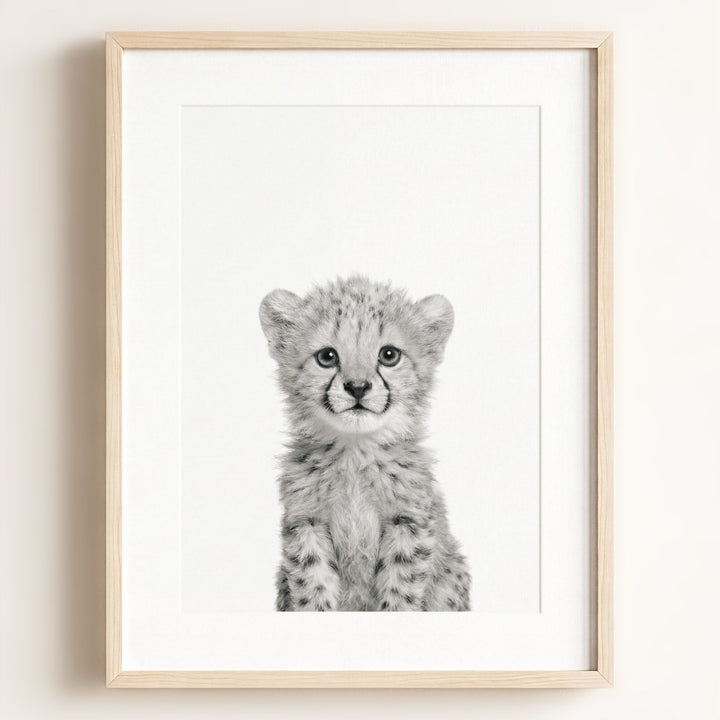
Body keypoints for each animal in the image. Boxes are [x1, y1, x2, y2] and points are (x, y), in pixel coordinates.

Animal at [259, 275, 471, 611]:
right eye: (327, 357)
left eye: (389, 355)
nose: (357, 387)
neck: (355, 454)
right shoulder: (306, 523)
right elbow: (312, 586)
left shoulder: (408, 523)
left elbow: (400, 590)